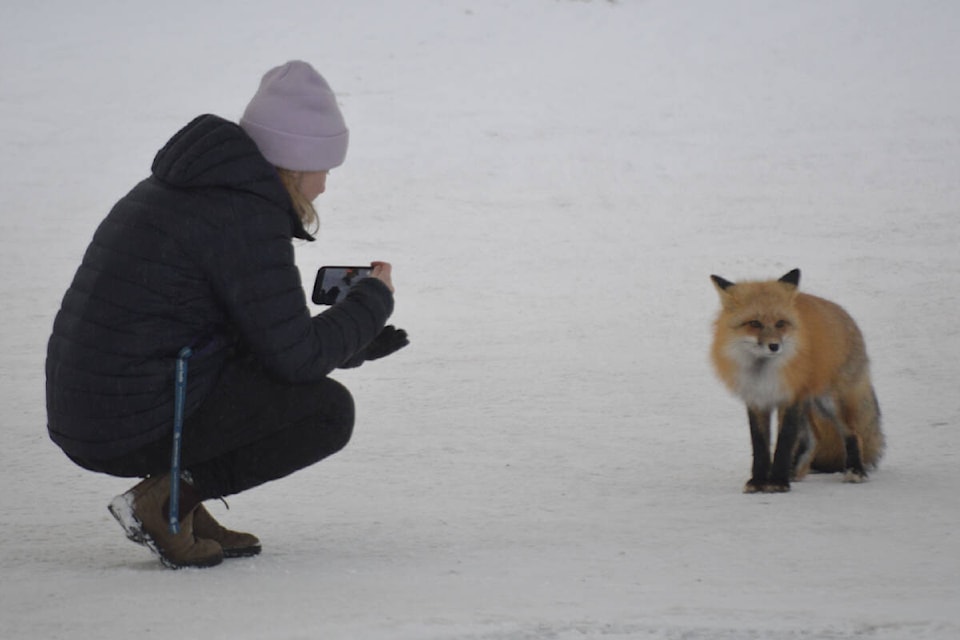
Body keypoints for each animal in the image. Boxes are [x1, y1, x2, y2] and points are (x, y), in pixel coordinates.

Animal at [704, 268, 884, 492]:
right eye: (755, 323)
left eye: (780, 323)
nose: (774, 346)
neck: (763, 372)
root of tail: (845, 315)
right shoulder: (757, 400)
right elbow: (760, 445)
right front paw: (759, 481)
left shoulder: (791, 398)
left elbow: (785, 441)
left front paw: (778, 481)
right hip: (810, 405)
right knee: (814, 438)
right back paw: (795, 471)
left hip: (829, 402)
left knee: (853, 434)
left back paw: (855, 471)